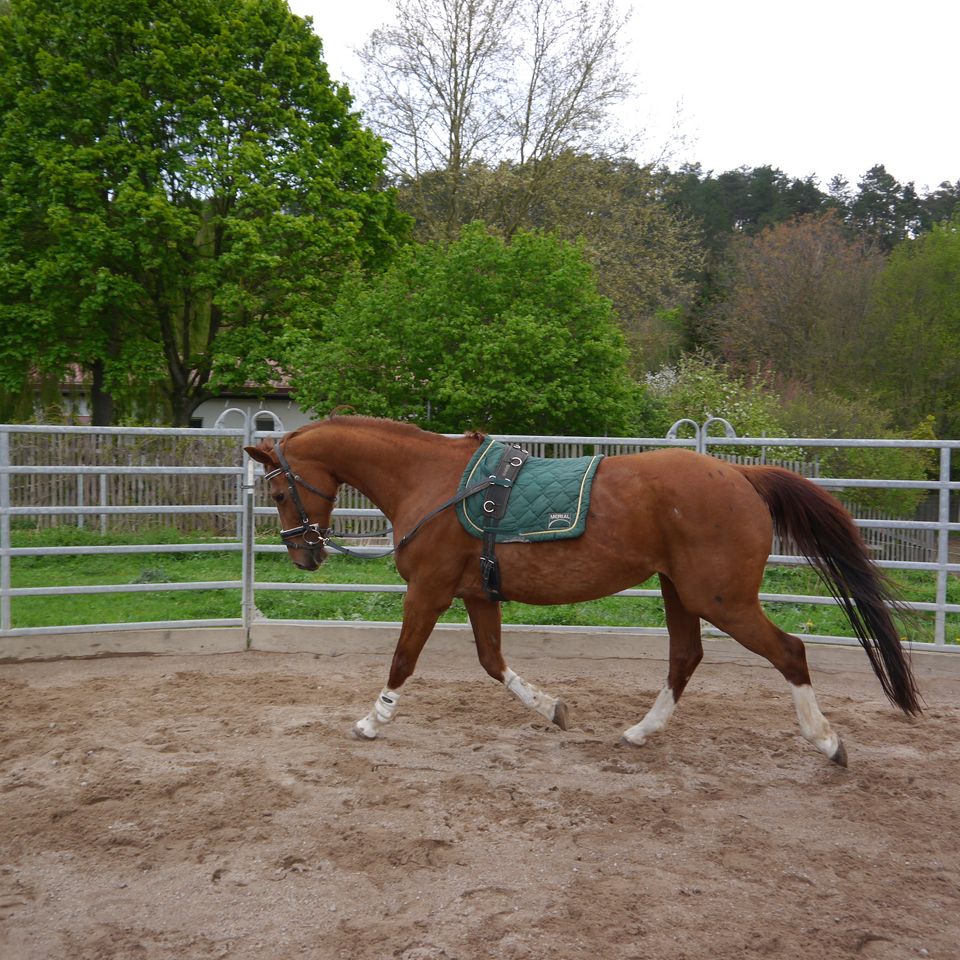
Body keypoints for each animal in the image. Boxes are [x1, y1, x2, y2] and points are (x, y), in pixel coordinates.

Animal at [244, 416, 920, 760]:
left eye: (277, 491)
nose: (304, 554)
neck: (433, 482)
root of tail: (741, 476)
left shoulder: (429, 593)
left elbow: (403, 660)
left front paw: (372, 721)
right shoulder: (477, 596)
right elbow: (492, 663)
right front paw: (553, 709)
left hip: (720, 599)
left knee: (790, 652)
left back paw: (826, 740)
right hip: (680, 593)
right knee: (686, 657)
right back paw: (640, 732)